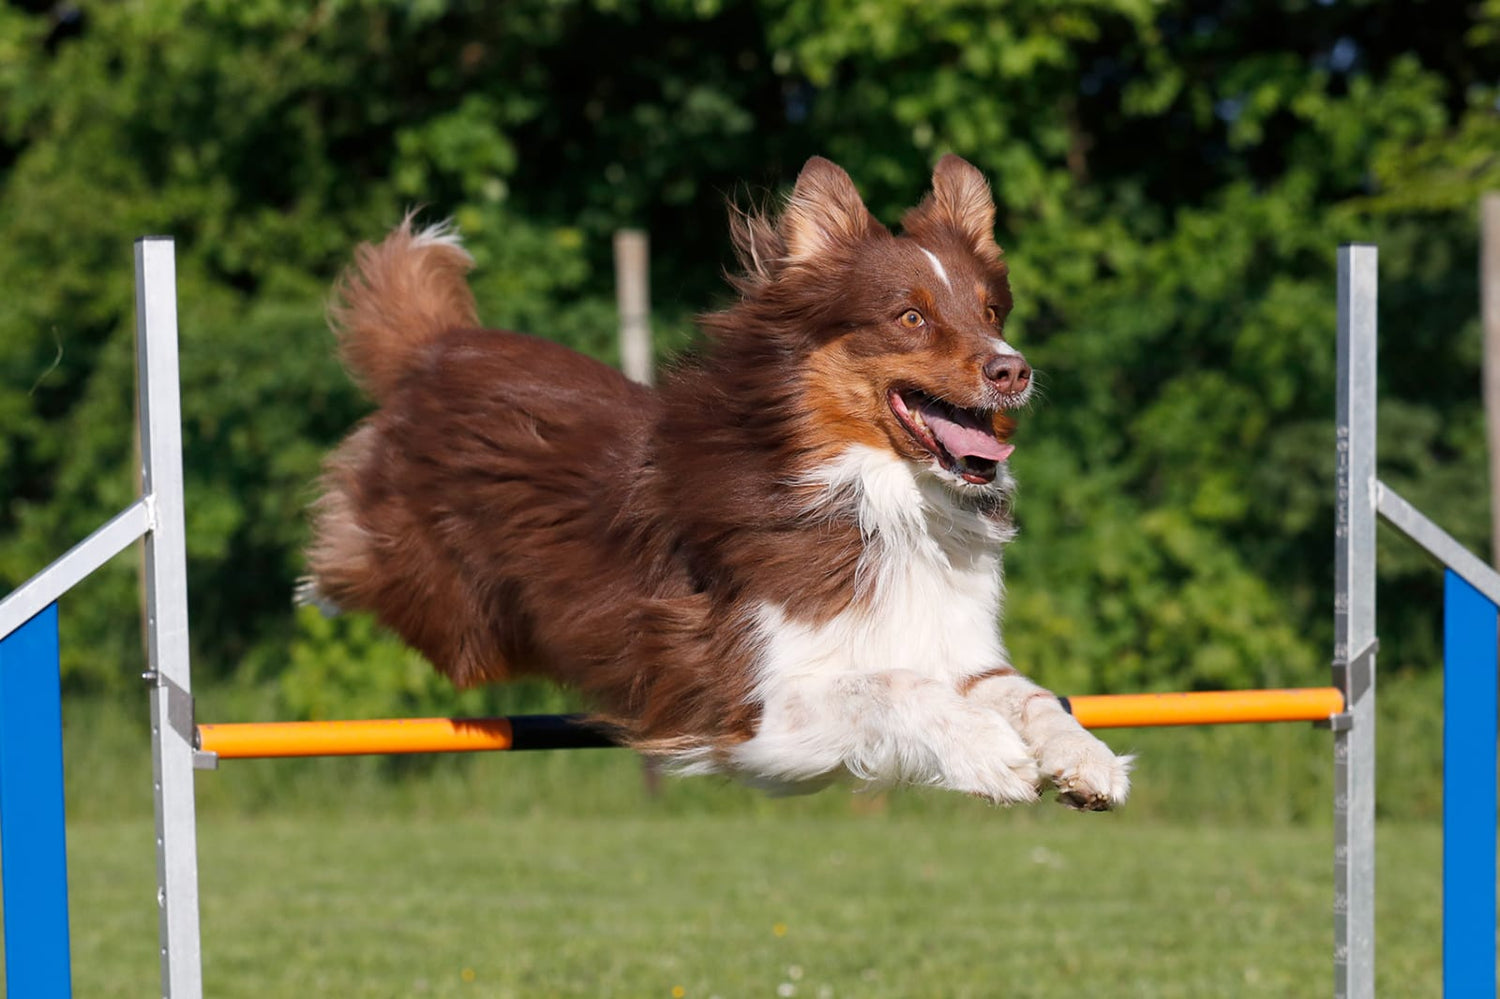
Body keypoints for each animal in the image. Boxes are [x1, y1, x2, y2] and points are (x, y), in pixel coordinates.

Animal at [304, 157, 1128, 810]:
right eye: (910, 318)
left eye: (991, 311)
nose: (1013, 370)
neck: (883, 502)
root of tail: (437, 347)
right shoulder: (748, 704)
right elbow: (892, 686)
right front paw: (991, 754)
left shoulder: (952, 648)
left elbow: (1029, 694)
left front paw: (1086, 760)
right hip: (454, 614)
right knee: (356, 561)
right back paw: (317, 583)